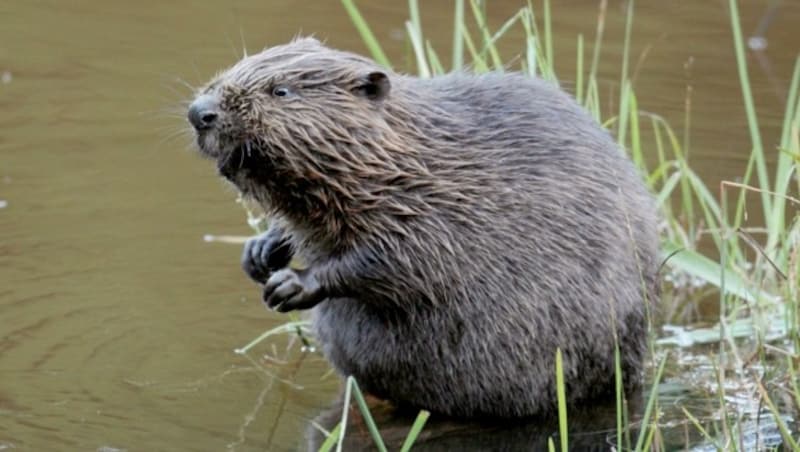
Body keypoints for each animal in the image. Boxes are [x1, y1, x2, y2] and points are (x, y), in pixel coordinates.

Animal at [189, 37, 664, 418]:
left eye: (281, 91)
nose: (200, 112)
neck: (405, 157)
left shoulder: (435, 211)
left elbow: (401, 263)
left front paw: (290, 285)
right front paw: (259, 252)